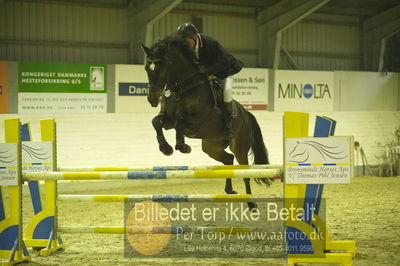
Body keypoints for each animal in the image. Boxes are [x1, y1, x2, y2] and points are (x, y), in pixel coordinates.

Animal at [139, 34, 274, 210]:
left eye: (161, 68)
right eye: (147, 69)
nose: (152, 100)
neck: (183, 87)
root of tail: (246, 113)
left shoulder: (199, 121)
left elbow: (180, 123)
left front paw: (182, 146)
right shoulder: (168, 119)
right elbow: (156, 122)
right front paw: (166, 148)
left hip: (239, 147)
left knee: (244, 171)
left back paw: (251, 204)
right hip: (211, 147)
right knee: (228, 160)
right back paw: (229, 190)